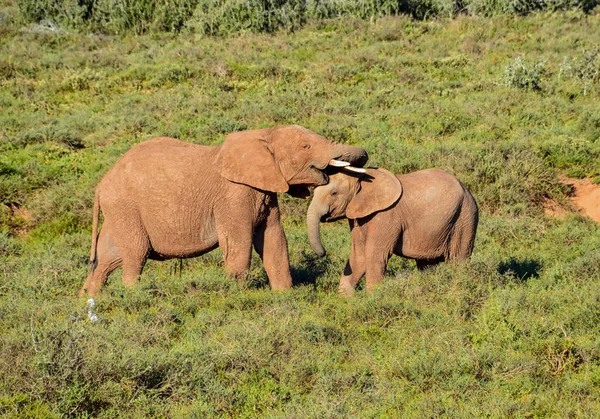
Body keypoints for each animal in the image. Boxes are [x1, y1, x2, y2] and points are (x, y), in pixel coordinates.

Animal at [77, 124, 368, 296]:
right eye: (306, 147)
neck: (262, 135)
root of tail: (101, 184)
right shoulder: (234, 196)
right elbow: (239, 244)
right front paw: (238, 299)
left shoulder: (264, 192)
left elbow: (274, 242)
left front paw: (284, 297)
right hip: (125, 206)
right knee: (135, 256)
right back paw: (132, 300)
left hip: (119, 211)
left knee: (105, 260)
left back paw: (88, 306)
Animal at [308, 168, 476, 298]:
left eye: (334, 193)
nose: (324, 252)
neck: (362, 178)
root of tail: (466, 188)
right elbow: (358, 254)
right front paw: (345, 299)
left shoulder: (386, 215)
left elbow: (374, 254)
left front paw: (372, 299)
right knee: (427, 265)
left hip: (465, 217)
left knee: (459, 259)